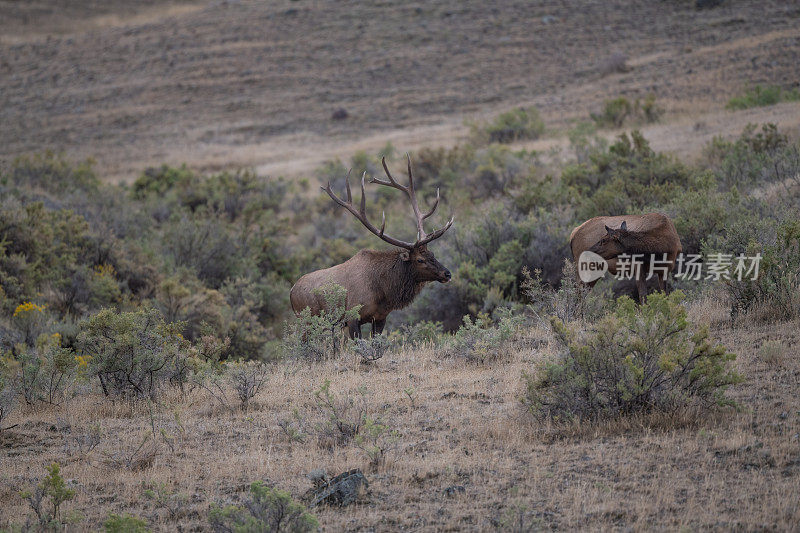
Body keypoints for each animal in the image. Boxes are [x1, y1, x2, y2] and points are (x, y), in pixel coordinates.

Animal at [290, 156, 454, 336]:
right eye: (419, 259)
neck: (383, 292)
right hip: (306, 321)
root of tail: (291, 292)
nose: (447, 273)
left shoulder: (380, 318)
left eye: (432, 254)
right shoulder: (352, 316)